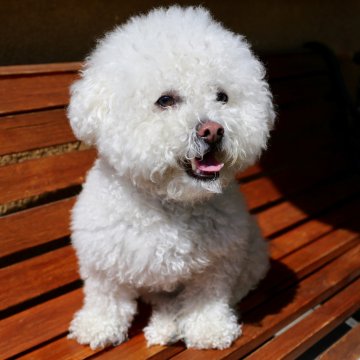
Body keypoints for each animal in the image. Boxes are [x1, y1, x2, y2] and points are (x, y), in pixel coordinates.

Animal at [67, 4, 274, 348]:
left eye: (222, 96)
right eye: (165, 100)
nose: (213, 130)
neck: (169, 203)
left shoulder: (219, 261)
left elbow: (208, 296)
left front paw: (209, 329)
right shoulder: (103, 259)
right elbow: (105, 296)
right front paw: (99, 326)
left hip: (253, 255)